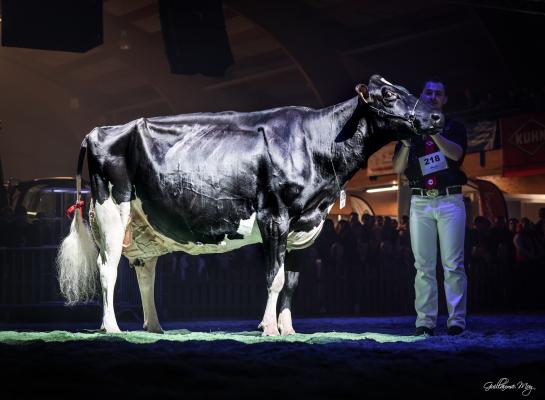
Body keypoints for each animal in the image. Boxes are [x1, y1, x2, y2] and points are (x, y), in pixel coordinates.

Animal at [57, 74, 444, 334]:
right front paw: (269, 328)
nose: (437, 116)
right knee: (108, 268)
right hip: (111, 209)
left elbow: (292, 282)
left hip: (142, 225)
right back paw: (112, 328)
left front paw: (288, 330)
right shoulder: (275, 216)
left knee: (145, 272)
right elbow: (274, 278)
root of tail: (99, 130)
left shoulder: (303, 227)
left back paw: (154, 328)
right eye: (389, 94)